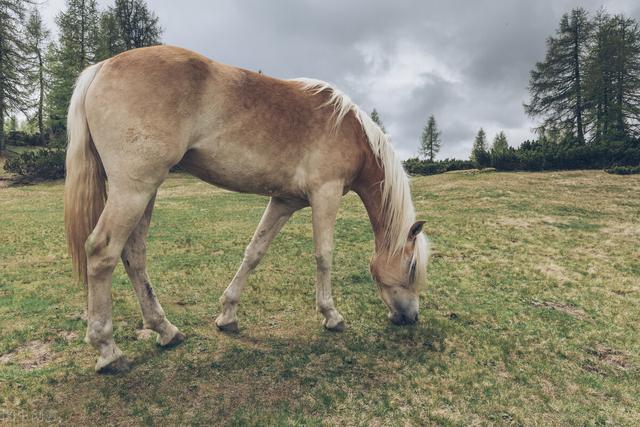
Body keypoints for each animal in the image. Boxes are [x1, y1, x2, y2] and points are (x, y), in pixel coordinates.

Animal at [63, 46, 430, 374]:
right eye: (412, 267)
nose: (411, 317)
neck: (349, 129)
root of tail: (102, 67)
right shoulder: (326, 193)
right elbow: (323, 255)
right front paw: (331, 315)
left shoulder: (284, 202)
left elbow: (255, 252)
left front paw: (228, 315)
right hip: (133, 190)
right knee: (102, 252)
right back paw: (108, 350)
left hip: (146, 192)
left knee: (134, 255)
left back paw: (165, 331)